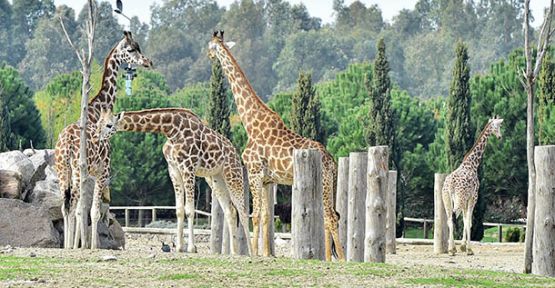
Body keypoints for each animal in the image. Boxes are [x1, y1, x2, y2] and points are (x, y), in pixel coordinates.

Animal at [54, 30, 152, 249]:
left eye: (140, 47)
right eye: (131, 49)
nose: (148, 61)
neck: (96, 109)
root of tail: (64, 144)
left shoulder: (90, 174)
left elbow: (83, 210)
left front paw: (80, 244)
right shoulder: (102, 171)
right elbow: (93, 211)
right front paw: (91, 246)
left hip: (63, 170)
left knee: (66, 205)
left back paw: (67, 245)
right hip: (77, 170)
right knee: (74, 205)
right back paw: (74, 245)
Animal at [99, 107, 252, 254]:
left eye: (109, 125)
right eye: (99, 123)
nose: (98, 137)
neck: (171, 130)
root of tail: (235, 152)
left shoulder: (188, 167)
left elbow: (189, 210)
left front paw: (191, 248)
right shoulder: (174, 170)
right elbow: (179, 210)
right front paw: (179, 247)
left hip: (232, 173)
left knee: (243, 211)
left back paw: (252, 252)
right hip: (215, 178)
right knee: (230, 211)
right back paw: (234, 252)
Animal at [208, 30, 346, 260]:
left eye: (209, 47)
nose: (209, 57)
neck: (250, 123)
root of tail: (332, 161)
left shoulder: (254, 172)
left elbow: (254, 215)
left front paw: (254, 254)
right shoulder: (267, 180)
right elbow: (265, 216)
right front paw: (266, 254)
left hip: (324, 183)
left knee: (331, 217)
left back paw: (343, 259)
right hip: (325, 184)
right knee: (330, 217)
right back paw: (327, 257)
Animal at [444, 117, 504, 256]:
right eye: (498, 126)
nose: (500, 137)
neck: (472, 164)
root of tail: (449, 186)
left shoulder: (466, 199)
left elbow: (466, 220)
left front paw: (462, 247)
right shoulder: (473, 197)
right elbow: (469, 222)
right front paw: (468, 249)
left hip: (447, 200)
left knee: (449, 219)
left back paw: (451, 249)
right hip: (458, 200)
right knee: (453, 218)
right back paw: (452, 249)